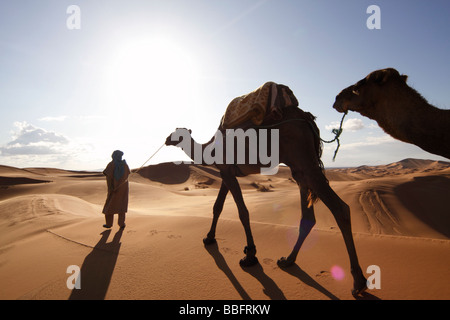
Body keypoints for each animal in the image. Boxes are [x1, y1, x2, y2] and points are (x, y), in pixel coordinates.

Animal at [166, 87, 370, 296]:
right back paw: (288, 260)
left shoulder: (228, 173)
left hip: (305, 161)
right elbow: (218, 207)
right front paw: (209, 238)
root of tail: (307, 118)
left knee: (340, 208)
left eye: (176, 134)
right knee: (308, 216)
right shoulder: (226, 173)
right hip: (299, 169)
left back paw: (358, 282)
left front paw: (250, 255)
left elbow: (242, 212)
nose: (166, 140)